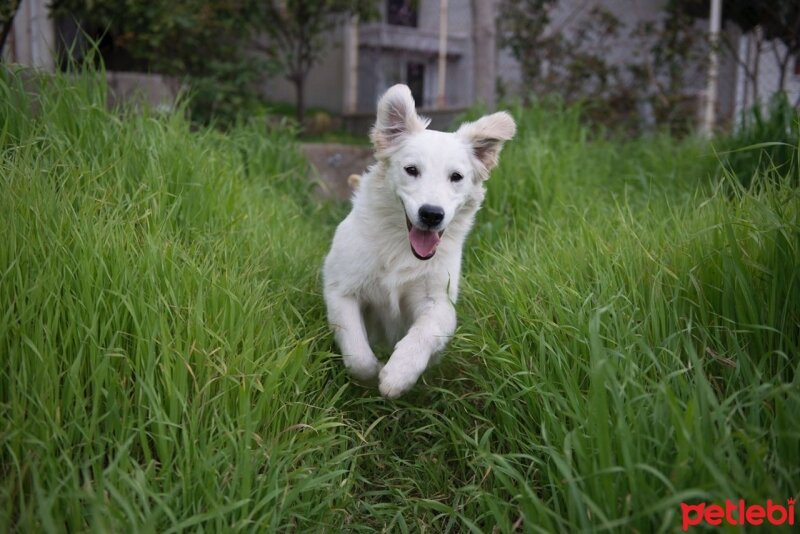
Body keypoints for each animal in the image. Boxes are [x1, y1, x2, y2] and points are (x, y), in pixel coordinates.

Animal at [322, 85, 516, 398]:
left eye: (456, 177)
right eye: (411, 170)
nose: (432, 214)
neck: (400, 247)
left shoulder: (439, 301)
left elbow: (425, 332)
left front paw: (398, 374)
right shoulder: (341, 291)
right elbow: (357, 354)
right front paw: (373, 374)